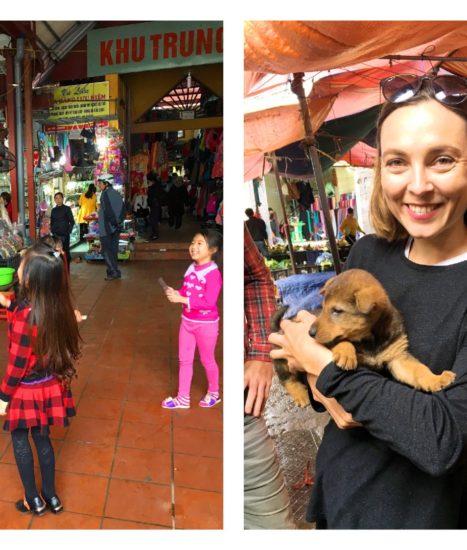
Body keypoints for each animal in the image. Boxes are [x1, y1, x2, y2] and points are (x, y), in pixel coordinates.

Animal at [271, 268, 456, 407]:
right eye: (322, 308)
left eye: (337, 311)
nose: (310, 333)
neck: (370, 339)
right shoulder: (331, 341)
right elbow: (342, 340)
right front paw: (346, 354)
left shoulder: (397, 357)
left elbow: (419, 370)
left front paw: (437, 379)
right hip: (282, 361)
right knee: (286, 379)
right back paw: (301, 395)